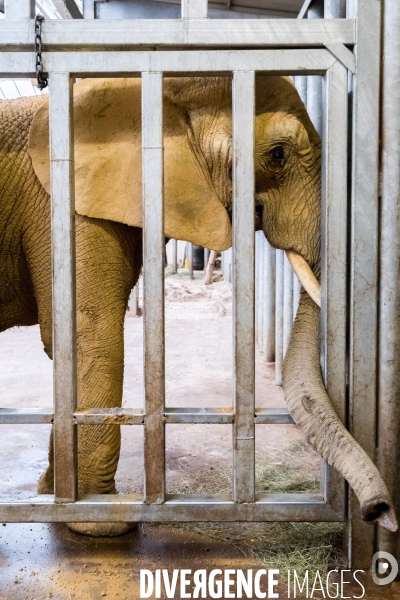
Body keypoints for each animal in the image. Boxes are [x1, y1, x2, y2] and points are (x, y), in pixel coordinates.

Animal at [0, 76, 396, 540]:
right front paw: (102, 522)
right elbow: (89, 336)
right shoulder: (65, 208)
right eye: (278, 156)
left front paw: (53, 496)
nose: (380, 511)